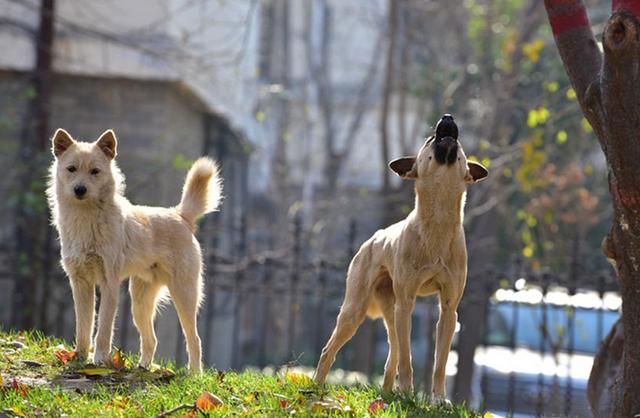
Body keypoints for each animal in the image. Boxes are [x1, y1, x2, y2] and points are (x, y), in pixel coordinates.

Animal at [44, 129, 220, 370]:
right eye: (71, 169)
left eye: (95, 171)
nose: (80, 190)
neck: (86, 219)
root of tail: (180, 215)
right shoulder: (80, 283)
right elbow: (83, 328)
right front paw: (79, 357)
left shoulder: (109, 284)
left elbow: (103, 329)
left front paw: (99, 359)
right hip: (140, 302)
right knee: (151, 340)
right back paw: (143, 367)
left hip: (184, 295)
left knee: (194, 339)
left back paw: (194, 373)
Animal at [316, 115, 490, 402]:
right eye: (429, 140)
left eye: (461, 145)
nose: (447, 118)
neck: (437, 225)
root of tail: (372, 240)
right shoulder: (407, 303)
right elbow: (408, 360)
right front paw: (408, 393)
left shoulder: (448, 309)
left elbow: (440, 363)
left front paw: (438, 399)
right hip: (356, 310)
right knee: (331, 350)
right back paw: (317, 385)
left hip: (391, 312)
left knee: (393, 356)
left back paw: (387, 394)